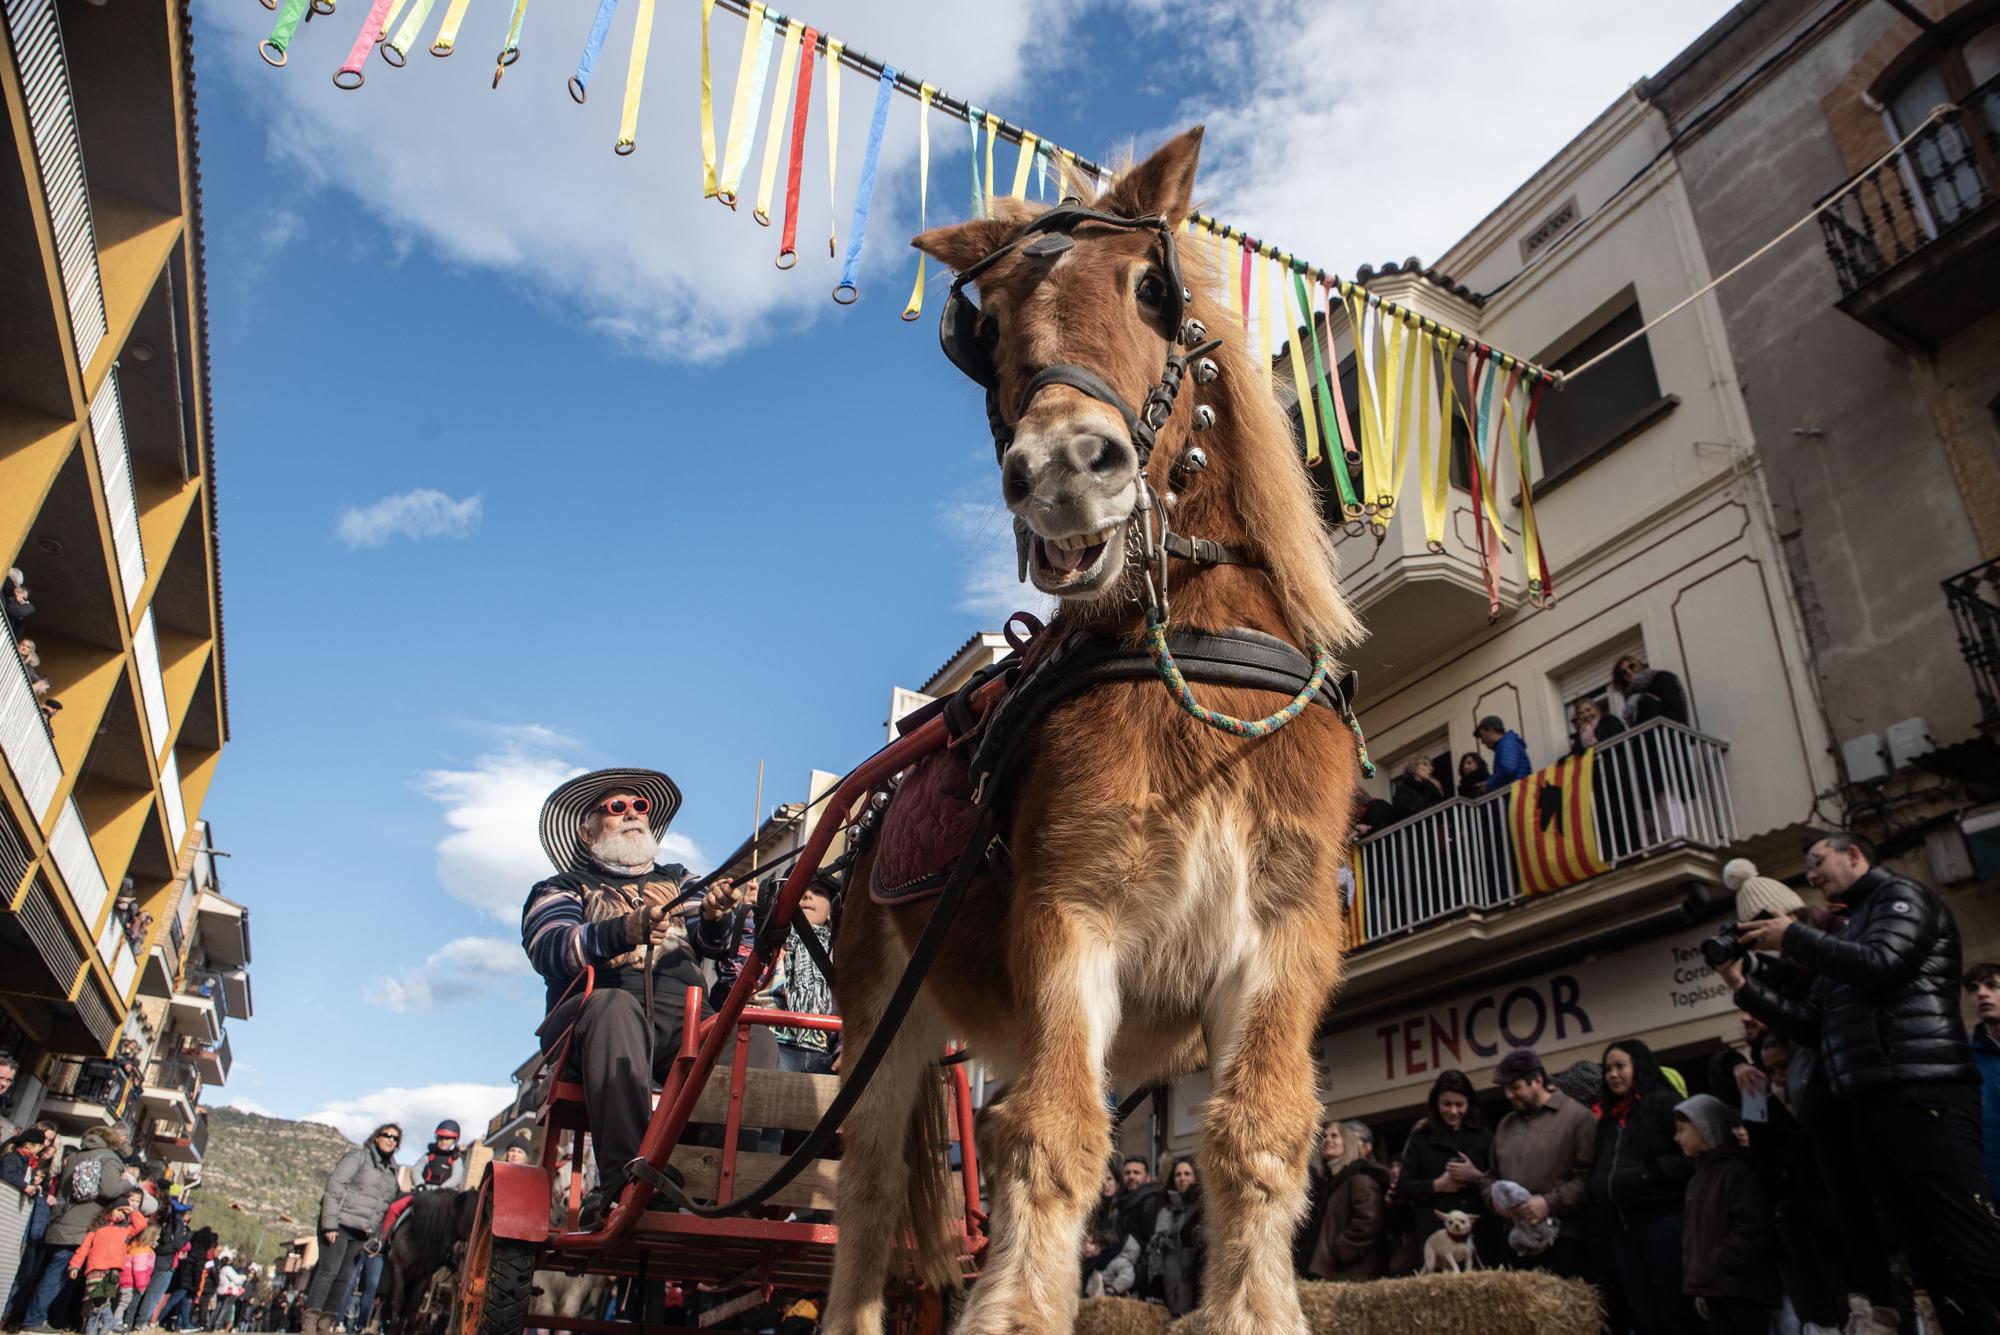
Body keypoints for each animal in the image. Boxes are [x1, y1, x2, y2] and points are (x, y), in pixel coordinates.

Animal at [824, 127, 1360, 1335]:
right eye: (983, 331)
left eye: (1151, 288)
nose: (1063, 470)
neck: (1188, 657)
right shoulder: (1071, 918)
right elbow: (1055, 1136)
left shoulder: (1285, 937)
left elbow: (1257, 1137)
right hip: (880, 1037)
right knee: (865, 1204)